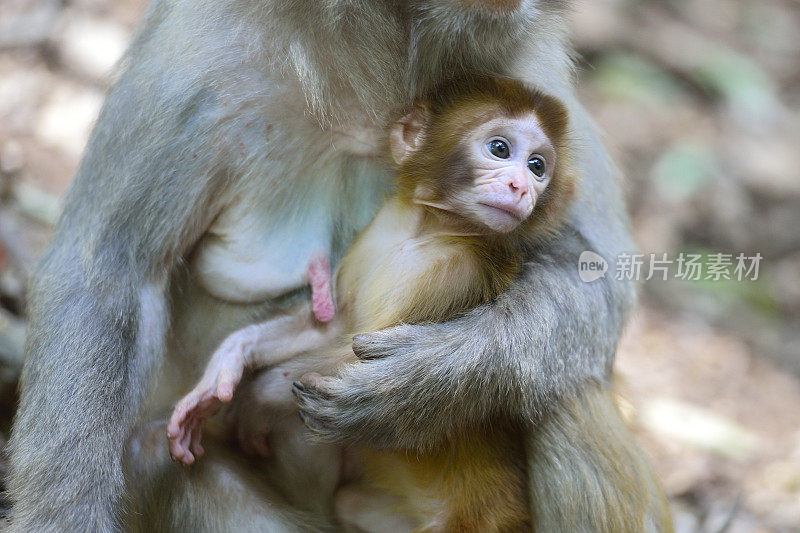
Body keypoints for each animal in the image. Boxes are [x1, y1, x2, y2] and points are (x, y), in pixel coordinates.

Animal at [167, 77, 576, 528]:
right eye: (500, 148)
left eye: (537, 166)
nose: (522, 186)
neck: (424, 232)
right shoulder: (376, 234)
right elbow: (332, 325)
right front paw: (227, 365)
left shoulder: (455, 274)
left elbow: (361, 354)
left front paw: (261, 395)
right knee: (347, 501)